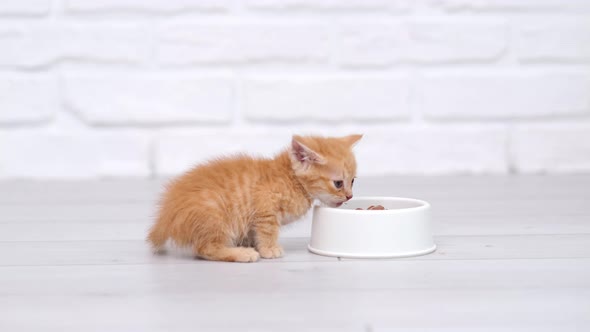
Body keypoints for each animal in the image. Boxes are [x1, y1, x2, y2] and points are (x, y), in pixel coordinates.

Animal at [146, 134, 364, 262]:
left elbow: (254, 232)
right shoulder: (265, 209)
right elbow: (268, 230)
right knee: (205, 248)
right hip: (214, 215)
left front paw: (254, 244)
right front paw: (268, 249)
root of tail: (166, 218)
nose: (349, 195)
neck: (291, 179)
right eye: (338, 183)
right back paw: (241, 254)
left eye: (353, 181)